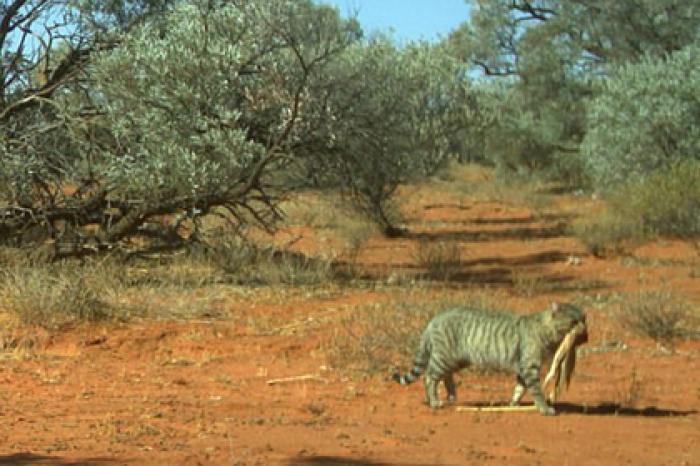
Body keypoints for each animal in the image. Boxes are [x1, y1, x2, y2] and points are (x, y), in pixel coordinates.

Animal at [394, 302, 584, 416]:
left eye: (584, 319)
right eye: (574, 321)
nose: (584, 331)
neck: (545, 330)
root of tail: (434, 318)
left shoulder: (523, 369)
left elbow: (519, 388)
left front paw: (513, 404)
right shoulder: (529, 367)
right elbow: (536, 391)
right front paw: (544, 408)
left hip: (456, 360)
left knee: (445, 377)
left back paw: (451, 396)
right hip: (444, 358)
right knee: (429, 377)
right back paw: (434, 401)